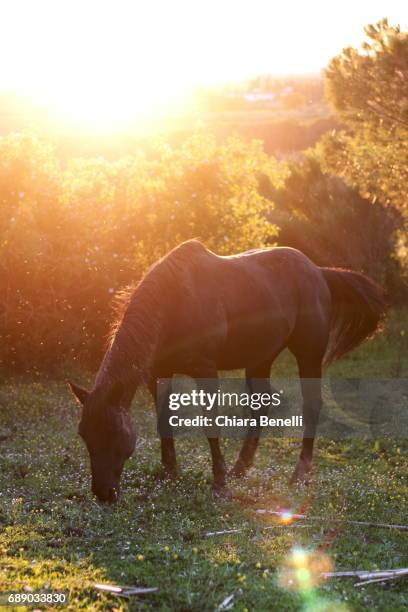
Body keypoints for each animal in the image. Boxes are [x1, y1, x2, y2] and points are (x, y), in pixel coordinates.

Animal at [68, 239, 388, 502]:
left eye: (113, 433)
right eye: (84, 434)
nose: (103, 493)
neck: (174, 302)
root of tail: (319, 272)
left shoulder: (205, 371)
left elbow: (211, 423)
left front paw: (219, 484)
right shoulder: (157, 374)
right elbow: (164, 422)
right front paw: (169, 474)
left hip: (308, 355)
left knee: (312, 405)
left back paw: (299, 474)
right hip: (260, 358)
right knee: (260, 406)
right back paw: (240, 469)